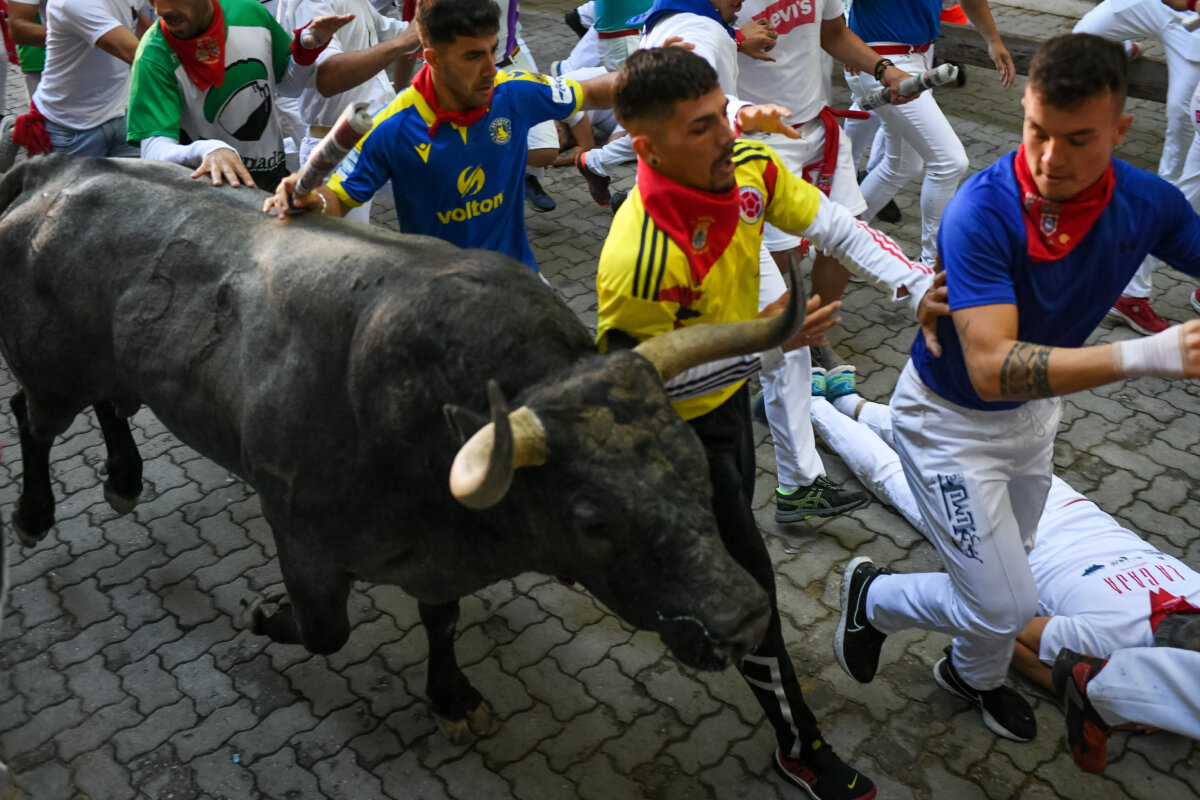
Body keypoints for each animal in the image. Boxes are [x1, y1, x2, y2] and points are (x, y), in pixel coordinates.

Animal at [0, 156, 807, 740]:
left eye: (696, 466)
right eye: (593, 519)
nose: (743, 620)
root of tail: (58, 168)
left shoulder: (434, 557)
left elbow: (440, 621)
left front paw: (449, 695)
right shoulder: (302, 539)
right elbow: (324, 631)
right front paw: (264, 617)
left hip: (108, 364)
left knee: (111, 401)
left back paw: (124, 476)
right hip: (51, 372)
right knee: (30, 419)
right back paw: (36, 513)